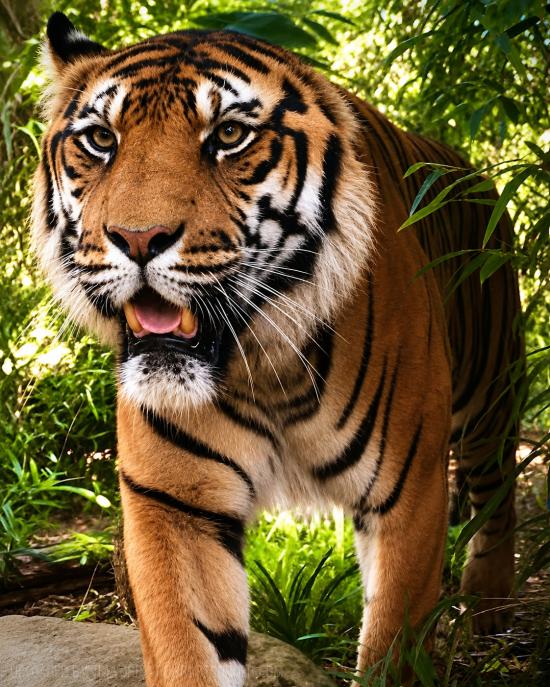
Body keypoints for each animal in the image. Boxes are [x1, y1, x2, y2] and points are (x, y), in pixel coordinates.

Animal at [32, 11, 522, 686]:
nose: (136, 237)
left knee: (498, 497)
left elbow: (392, 645)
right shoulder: (173, 505)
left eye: (229, 135)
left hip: (492, 399)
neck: (263, 365)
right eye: (101, 139)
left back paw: (491, 609)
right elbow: (191, 649)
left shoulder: (408, 497)